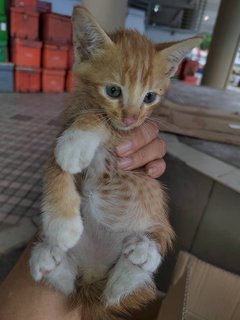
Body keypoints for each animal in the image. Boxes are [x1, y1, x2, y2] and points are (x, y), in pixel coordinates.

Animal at [29, 5, 201, 320]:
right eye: (113, 91)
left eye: (149, 97)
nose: (131, 117)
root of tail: (94, 274)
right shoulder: (62, 128)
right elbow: (54, 164)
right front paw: (61, 223)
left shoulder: (129, 134)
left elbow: (103, 123)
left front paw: (77, 141)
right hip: (82, 275)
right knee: (77, 287)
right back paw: (50, 259)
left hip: (155, 225)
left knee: (118, 292)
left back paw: (139, 258)